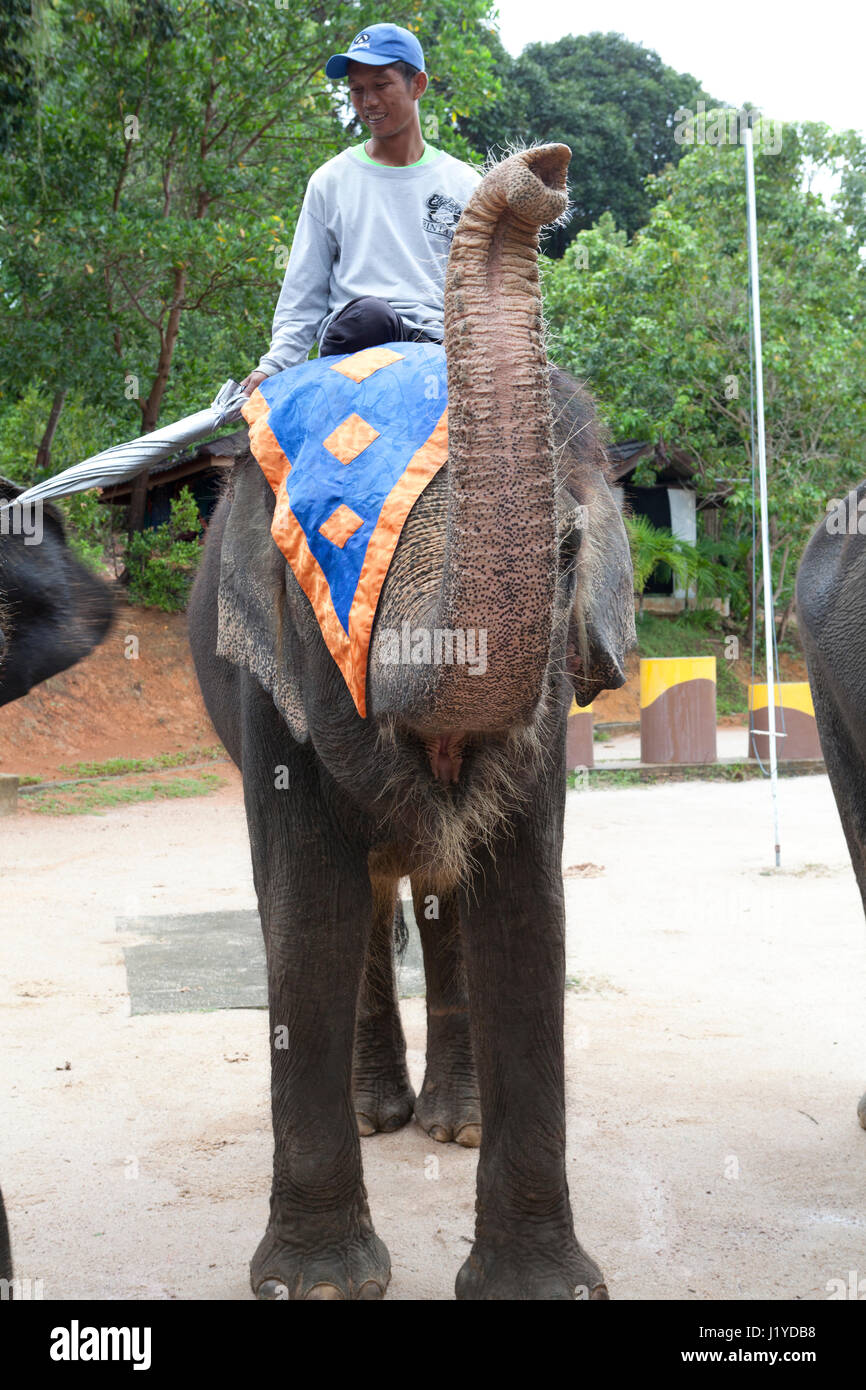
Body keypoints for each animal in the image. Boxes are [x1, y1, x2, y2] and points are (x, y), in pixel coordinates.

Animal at [188, 143, 636, 1301]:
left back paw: (450, 1123)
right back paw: (375, 1115)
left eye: (566, 553)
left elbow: (523, 915)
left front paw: (543, 1288)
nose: (546, 168)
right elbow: (307, 914)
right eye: (319, 569)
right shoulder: (268, 701)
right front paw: (319, 1285)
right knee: (343, 906)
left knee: (436, 902)